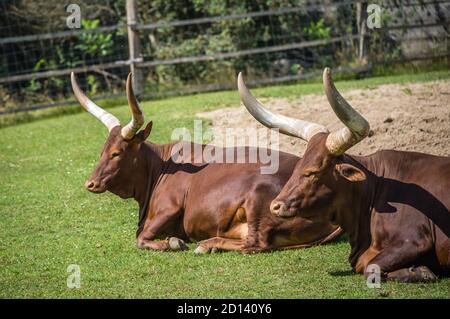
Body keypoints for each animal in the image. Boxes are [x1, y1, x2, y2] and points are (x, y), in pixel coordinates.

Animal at [69, 72, 342, 255]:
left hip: (262, 199)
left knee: (256, 244)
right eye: (103, 151)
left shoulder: (171, 207)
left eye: (116, 153)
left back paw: (206, 245)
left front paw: (172, 243)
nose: (90, 183)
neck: (160, 168)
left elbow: (141, 238)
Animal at [237, 69, 448, 284]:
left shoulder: (414, 239)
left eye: (314, 171)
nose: (275, 206)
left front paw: (420, 271)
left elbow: (370, 267)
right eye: (297, 167)